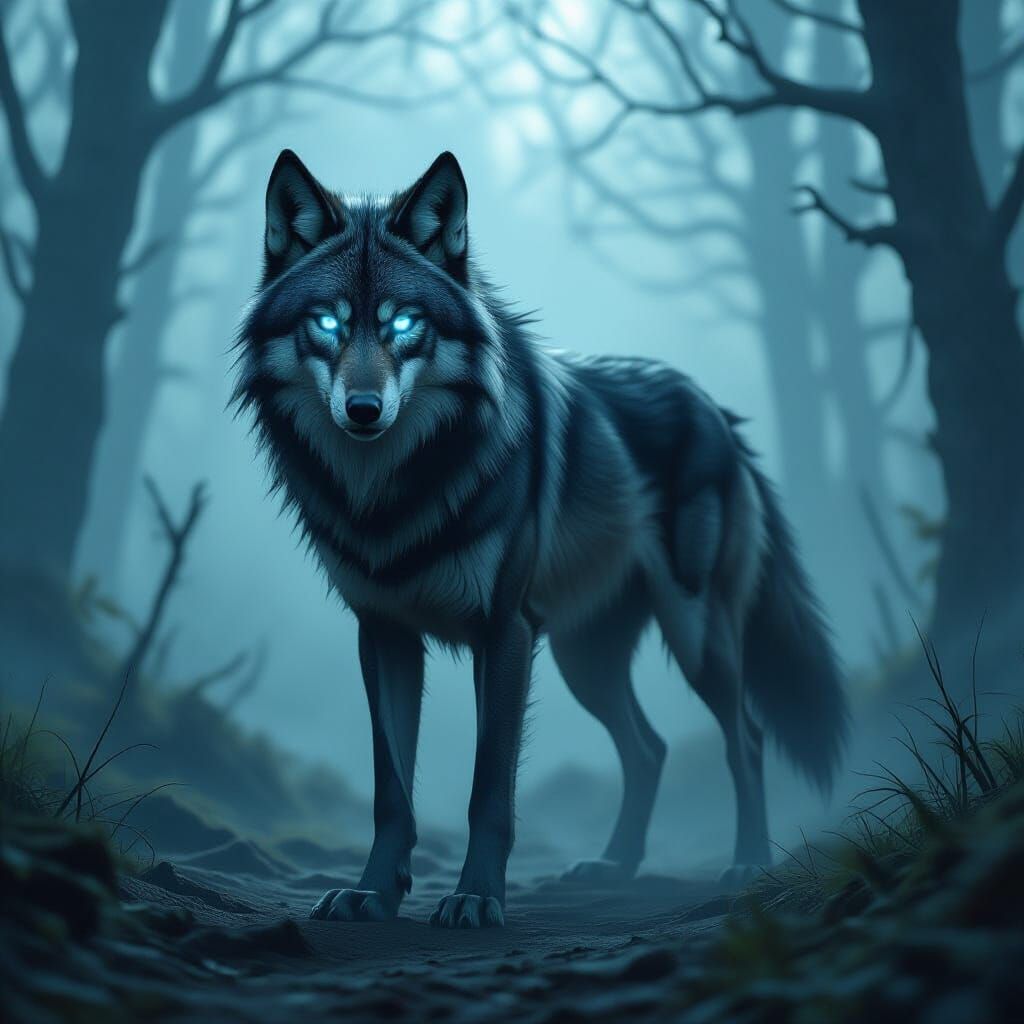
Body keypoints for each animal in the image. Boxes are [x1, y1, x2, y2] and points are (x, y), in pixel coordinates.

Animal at [234, 149, 848, 929]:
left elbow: (488, 787)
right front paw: (372, 892)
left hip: (693, 635)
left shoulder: (505, 632)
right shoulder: (384, 634)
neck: (392, 492)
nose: (364, 410)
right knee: (648, 749)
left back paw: (747, 864)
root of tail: (717, 410)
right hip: (585, 659)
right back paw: (615, 865)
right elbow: (391, 792)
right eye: (327, 321)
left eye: (403, 322)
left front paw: (475, 898)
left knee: (747, 737)